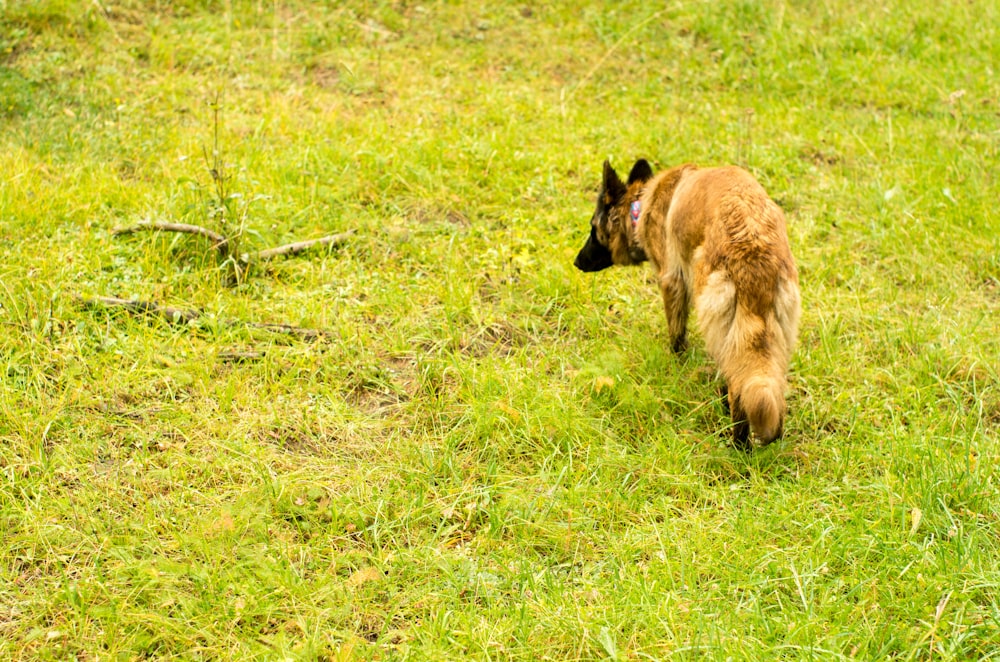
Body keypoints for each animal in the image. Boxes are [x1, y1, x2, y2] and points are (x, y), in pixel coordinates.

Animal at [576, 161, 800, 452]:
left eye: (593, 228)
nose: (577, 262)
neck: (642, 204)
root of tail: (754, 253)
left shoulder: (672, 282)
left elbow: (676, 336)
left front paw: (676, 364)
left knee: (737, 388)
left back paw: (738, 445)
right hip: (771, 341)